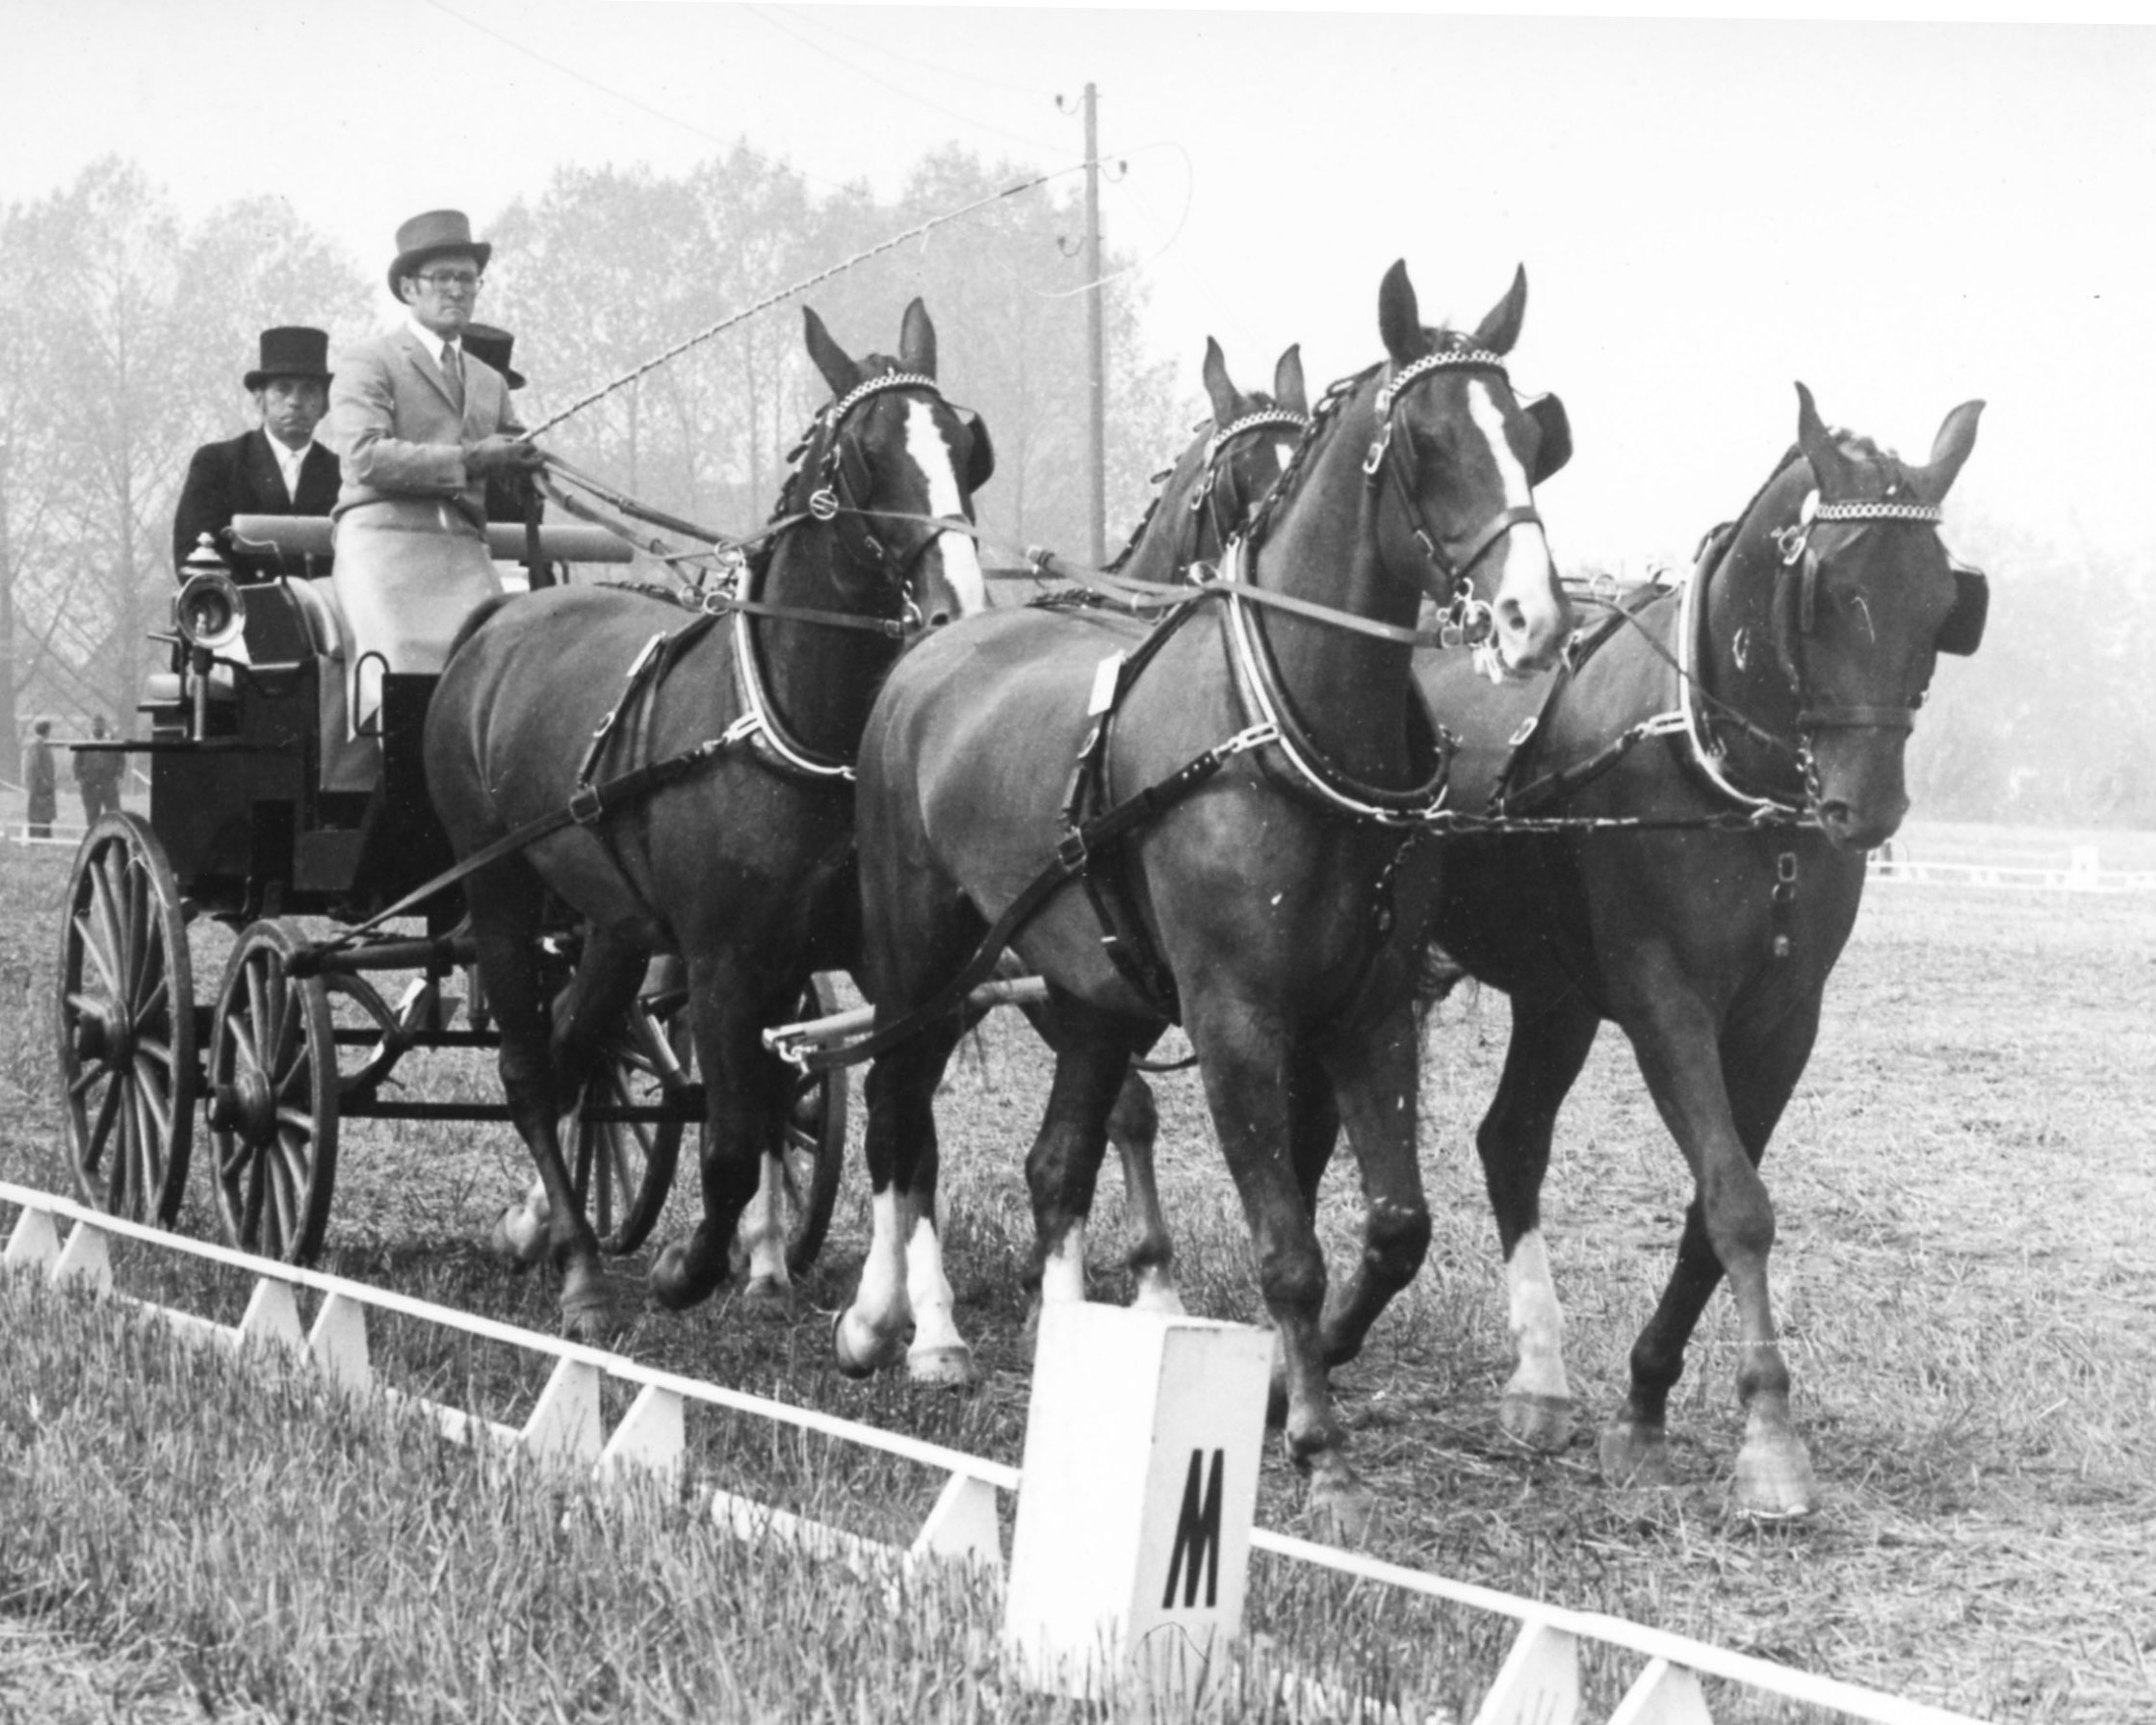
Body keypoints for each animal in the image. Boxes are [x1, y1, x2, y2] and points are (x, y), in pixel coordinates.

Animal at [427, 303, 991, 1337]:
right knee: (528, 1069)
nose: (956, 609)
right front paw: (687, 1269)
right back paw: (581, 1270)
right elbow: (728, 1140)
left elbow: (896, 1122)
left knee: (574, 1053)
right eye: (862, 456)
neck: (798, 730)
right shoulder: (724, 961)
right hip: (496, 884)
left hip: (613, 923)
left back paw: (545, 1233)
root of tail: (496, 620)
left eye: (966, 448)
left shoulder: (880, 961)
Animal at [836, 259, 1569, 1527]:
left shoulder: (1372, 1011)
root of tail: (932, 649)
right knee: (895, 1107)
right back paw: (891, 1323)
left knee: (1057, 1159)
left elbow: (1394, 1227)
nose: (1533, 619)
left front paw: (1285, 1385)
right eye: (1427, 441)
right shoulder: (1237, 1021)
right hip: (921, 957)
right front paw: (1318, 1447)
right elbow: (1287, 1248)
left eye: (1528, 436)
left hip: (1088, 995)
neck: (1287, 726)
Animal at [1414, 383, 1983, 1518]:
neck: (1732, 781)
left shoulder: (1779, 1021)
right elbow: (1736, 1201)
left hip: (1553, 995)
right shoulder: (1661, 1000)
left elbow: (1712, 1207)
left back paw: (1538, 1383)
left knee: (1510, 1141)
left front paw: (1644, 1403)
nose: (1867, 808)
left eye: (1944, 601)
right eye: (1826, 588)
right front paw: (1769, 1433)